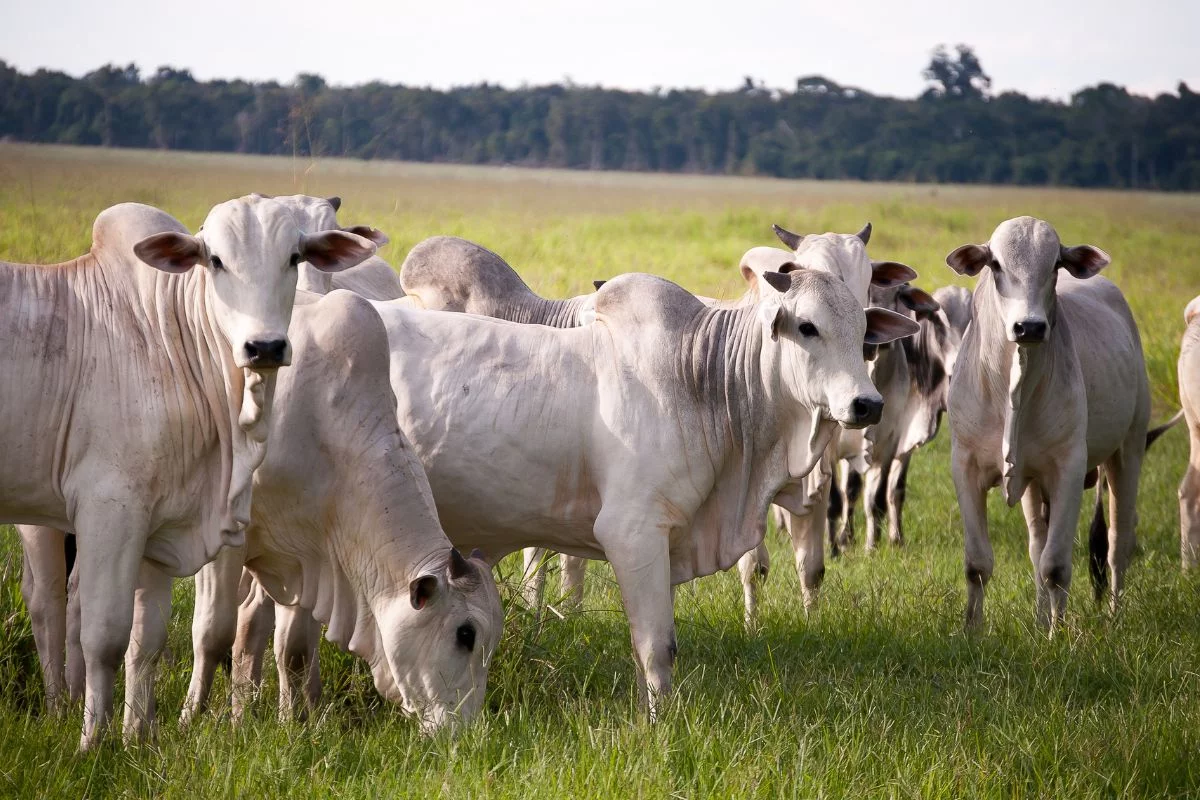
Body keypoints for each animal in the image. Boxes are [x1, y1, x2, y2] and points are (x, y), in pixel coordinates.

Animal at [369, 267, 912, 714]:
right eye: (807, 327)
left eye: (864, 335)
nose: (867, 404)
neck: (702, 379)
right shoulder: (633, 532)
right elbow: (658, 646)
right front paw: (658, 725)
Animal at [940, 215, 1147, 628]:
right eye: (995, 264)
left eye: (1055, 265)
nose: (1030, 327)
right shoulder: (965, 465)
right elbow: (978, 564)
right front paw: (971, 630)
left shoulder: (1069, 467)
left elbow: (1056, 566)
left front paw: (1059, 633)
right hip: (1035, 482)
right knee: (1037, 544)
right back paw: (1039, 620)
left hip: (1128, 451)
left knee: (1118, 543)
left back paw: (1111, 613)